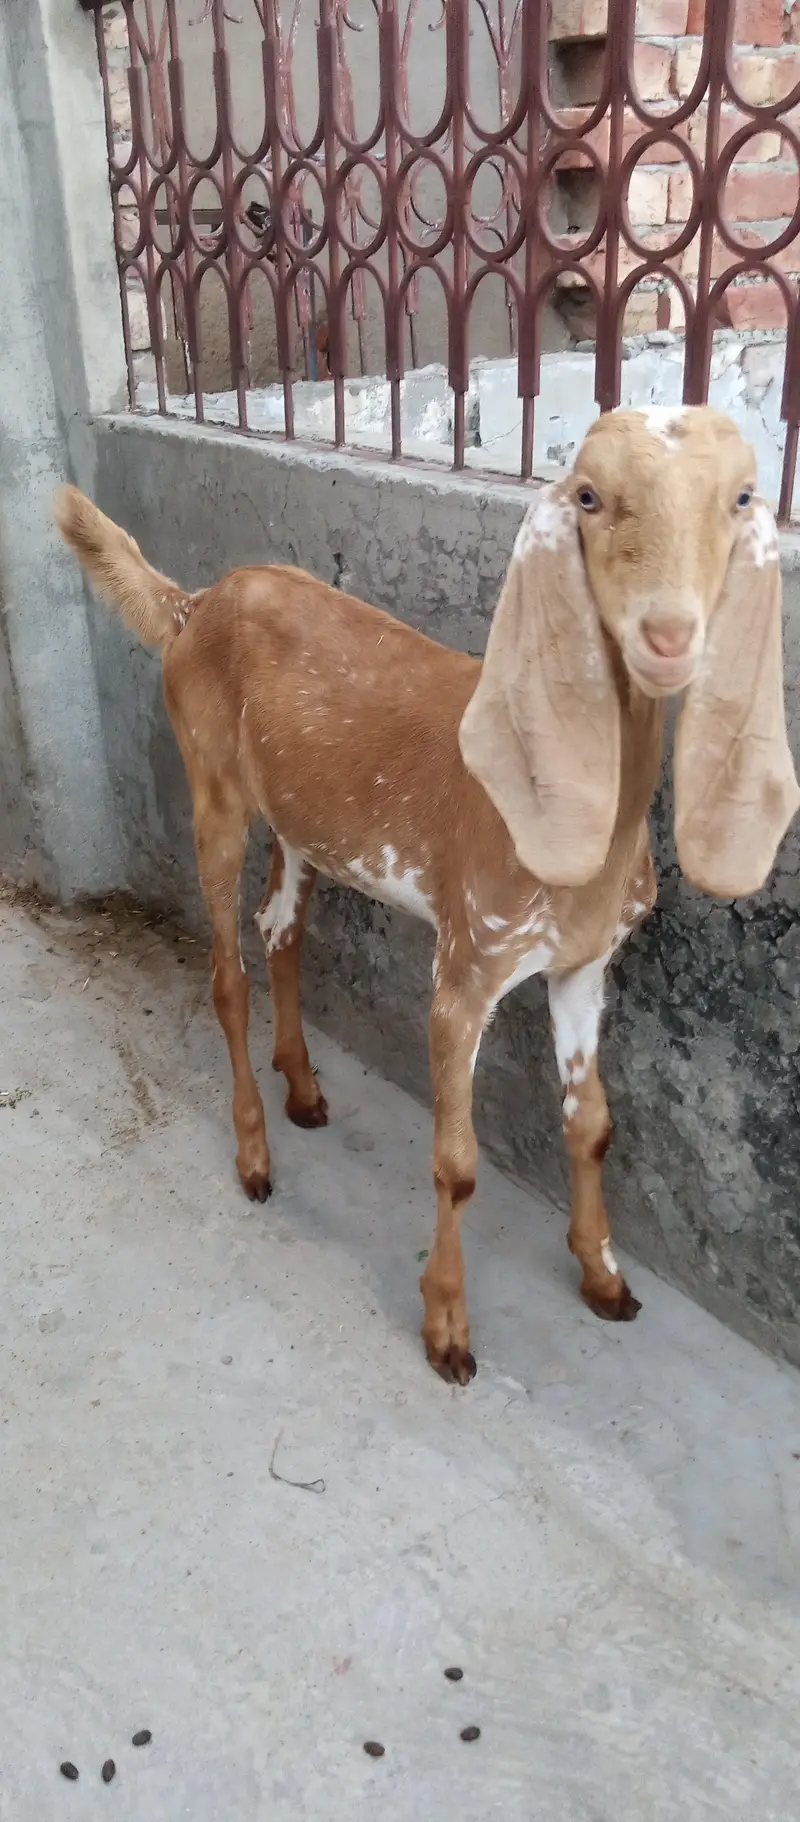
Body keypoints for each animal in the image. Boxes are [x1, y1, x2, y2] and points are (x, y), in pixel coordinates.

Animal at [54, 405, 799, 1384]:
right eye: (589, 497)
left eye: (743, 497)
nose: (668, 635)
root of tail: (192, 603)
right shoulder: (467, 962)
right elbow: (456, 1161)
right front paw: (447, 1329)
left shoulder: (582, 964)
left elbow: (593, 1122)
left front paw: (604, 1279)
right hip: (211, 781)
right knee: (226, 971)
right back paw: (255, 1157)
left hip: (303, 823)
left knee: (280, 930)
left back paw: (304, 1091)